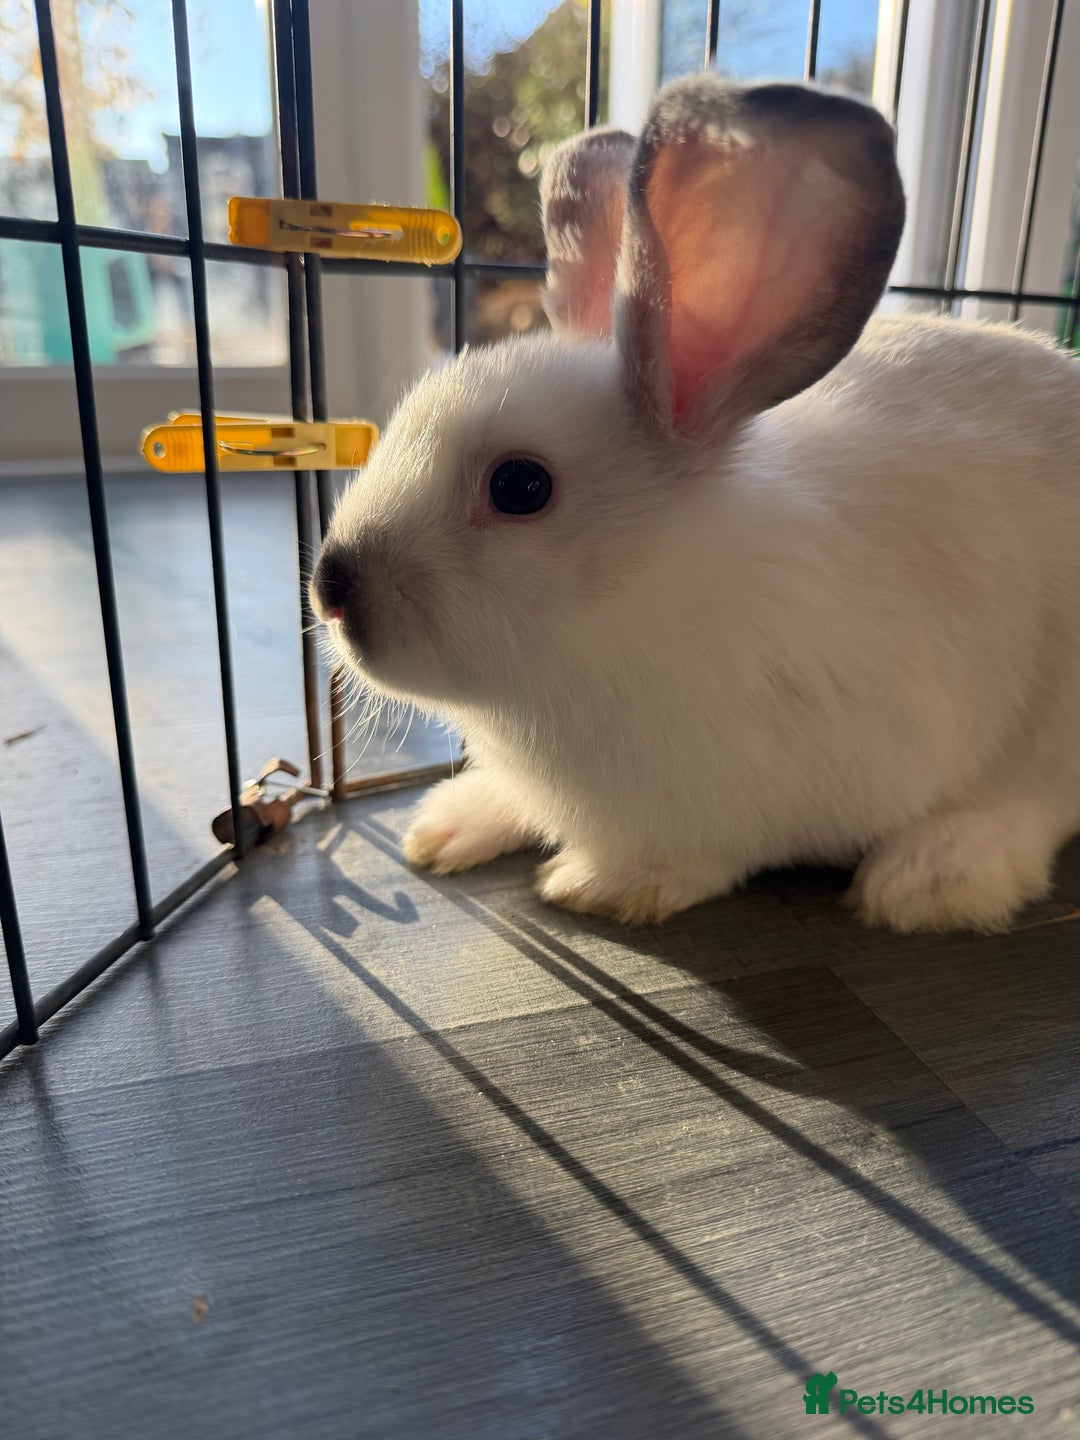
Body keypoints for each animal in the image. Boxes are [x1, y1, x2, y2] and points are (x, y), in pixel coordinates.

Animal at [311, 75, 1080, 935]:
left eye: (520, 487)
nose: (331, 586)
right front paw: (450, 826)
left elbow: (713, 857)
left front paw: (607, 884)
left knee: (1037, 802)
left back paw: (934, 879)